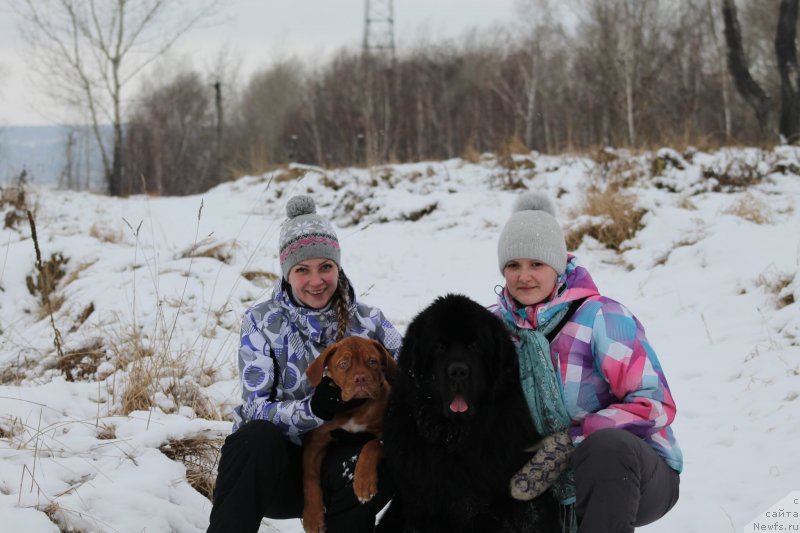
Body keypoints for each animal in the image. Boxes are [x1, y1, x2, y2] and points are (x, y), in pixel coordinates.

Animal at [304, 336, 396, 532]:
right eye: (344, 364)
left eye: (372, 362)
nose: (360, 378)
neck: (354, 409)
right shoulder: (315, 442)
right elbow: (309, 477)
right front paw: (312, 517)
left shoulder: (387, 432)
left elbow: (371, 445)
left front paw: (364, 483)